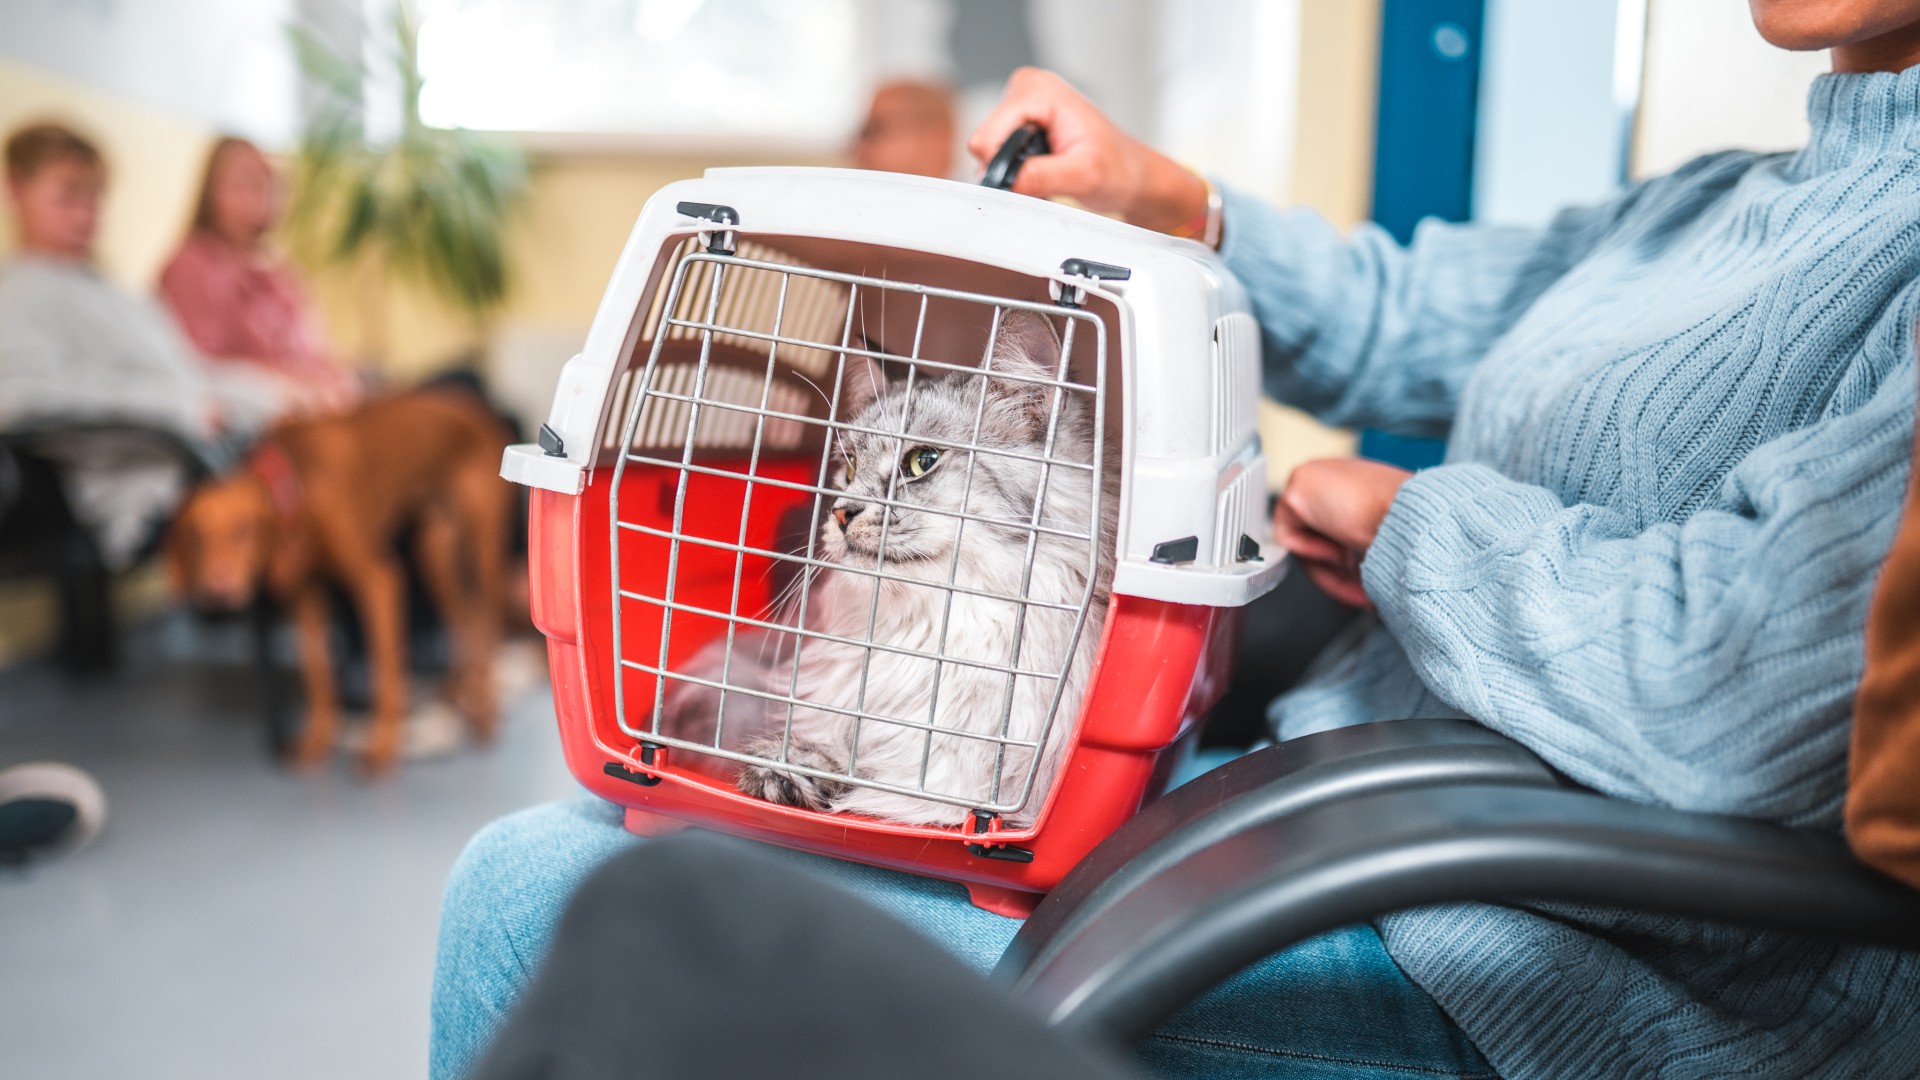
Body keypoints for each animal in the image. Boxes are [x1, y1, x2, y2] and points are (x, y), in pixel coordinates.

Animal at [169, 386, 514, 772]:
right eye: (195, 537)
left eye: (245, 531)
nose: (217, 590)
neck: (298, 478)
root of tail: (477, 408)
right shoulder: (306, 595)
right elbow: (319, 675)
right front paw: (316, 742)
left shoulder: (379, 580)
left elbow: (386, 670)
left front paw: (382, 748)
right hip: (434, 552)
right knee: (461, 619)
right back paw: (458, 694)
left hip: (479, 553)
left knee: (486, 624)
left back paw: (484, 713)